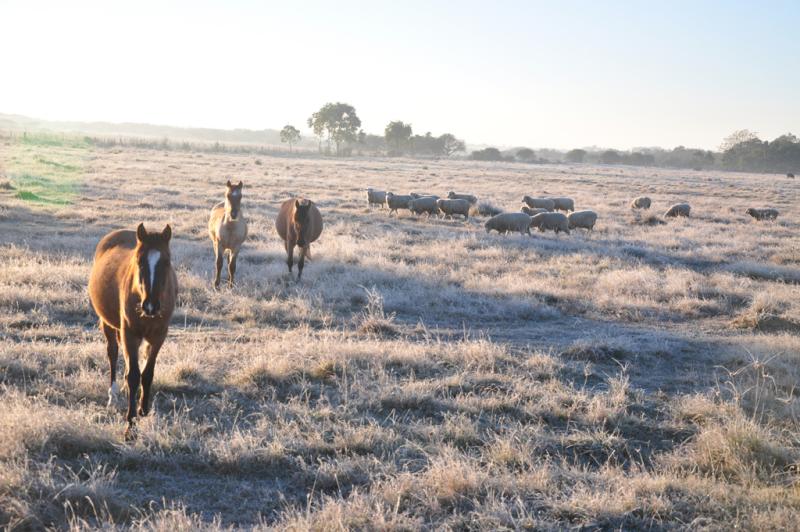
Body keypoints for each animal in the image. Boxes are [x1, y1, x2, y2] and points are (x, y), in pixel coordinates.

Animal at [90, 222, 179, 438]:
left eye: (166, 261)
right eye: (139, 261)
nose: (150, 306)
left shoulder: (158, 336)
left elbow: (147, 373)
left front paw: (143, 408)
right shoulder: (129, 333)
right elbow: (133, 375)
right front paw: (130, 425)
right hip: (109, 325)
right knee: (113, 353)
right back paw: (113, 394)